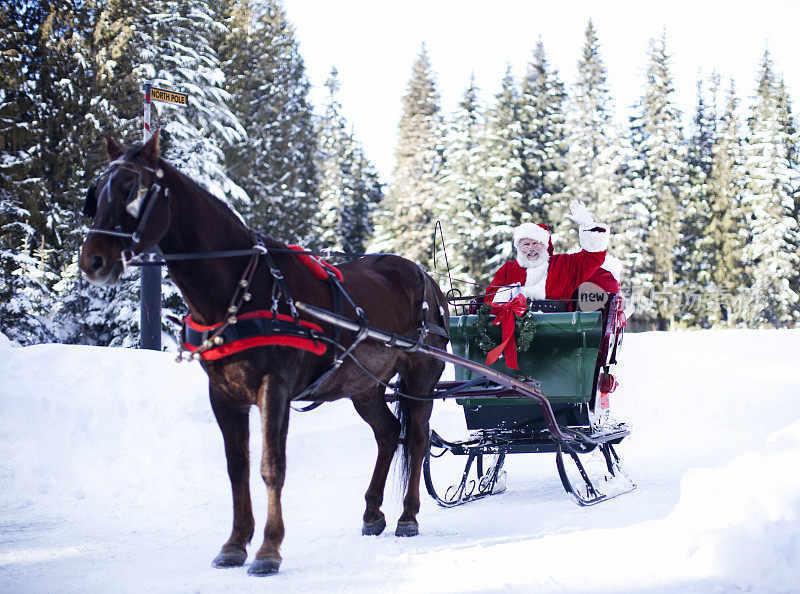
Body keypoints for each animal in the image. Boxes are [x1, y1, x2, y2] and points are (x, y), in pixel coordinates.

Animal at [80, 133, 450, 572]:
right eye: (95, 194)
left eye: (132, 190)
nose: (91, 261)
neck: (241, 289)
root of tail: (424, 275)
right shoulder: (223, 394)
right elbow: (236, 467)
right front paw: (235, 543)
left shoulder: (275, 388)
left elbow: (272, 466)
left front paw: (269, 549)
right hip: (363, 385)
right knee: (389, 434)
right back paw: (373, 512)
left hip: (421, 374)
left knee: (418, 439)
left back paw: (408, 515)